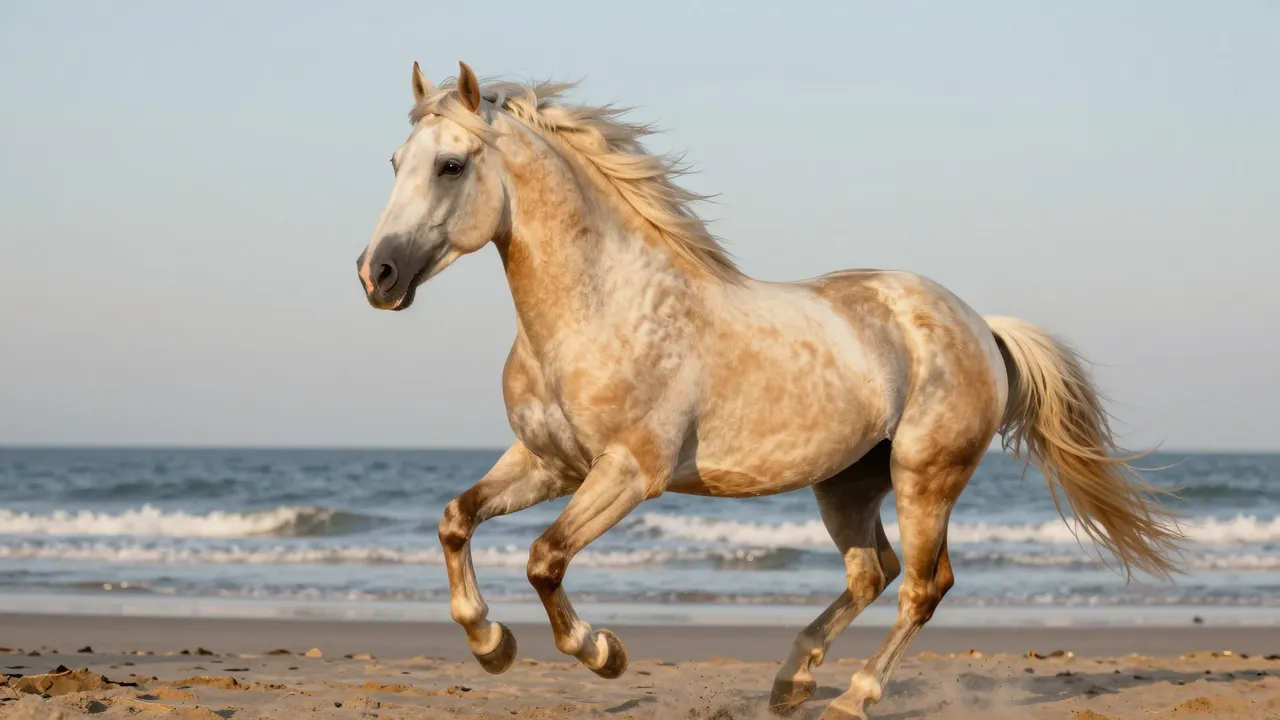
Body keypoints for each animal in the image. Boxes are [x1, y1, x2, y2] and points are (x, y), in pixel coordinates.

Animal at [354, 61, 1185, 719]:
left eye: (451, 165)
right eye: (395, 160)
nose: (376, 275)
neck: (602, 306)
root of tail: (980, 324)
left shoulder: (628, 473)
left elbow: (544, 558)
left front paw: (602, 652)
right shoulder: (547, 462)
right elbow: (456, 521)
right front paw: (490, 643)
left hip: (925, 475)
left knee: (923, 585)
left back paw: (851, 699)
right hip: (846, 483)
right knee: (872, 572)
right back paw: (791, 683)